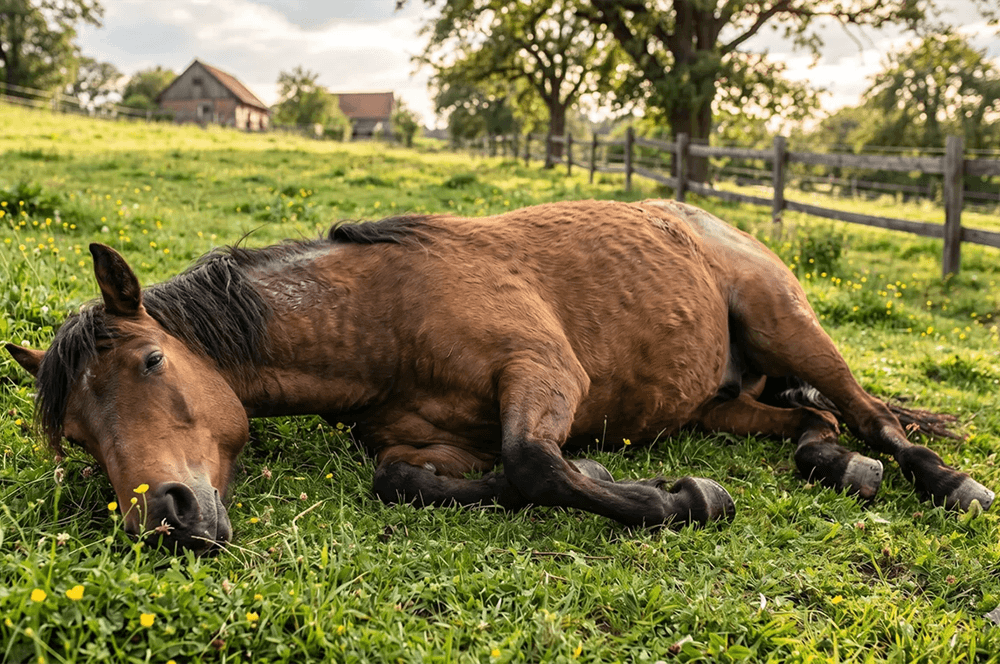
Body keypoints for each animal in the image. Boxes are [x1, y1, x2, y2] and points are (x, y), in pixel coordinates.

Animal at [5, 199, 993, 553]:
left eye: (152, 360)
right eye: (79, 438)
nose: (163, 520)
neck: (386, 317)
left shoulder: (542, 369)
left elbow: (531, 461)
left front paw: (683, 500)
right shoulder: (417, 442)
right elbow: (407, 482)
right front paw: (620, 476)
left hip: (786, 322)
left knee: (869, 415)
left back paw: (947, 483)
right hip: (720, 408)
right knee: (816, 426)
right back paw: (836, 468)